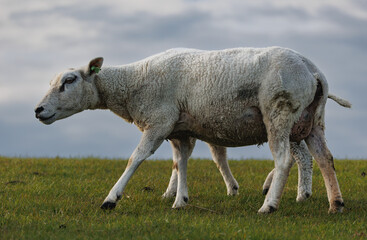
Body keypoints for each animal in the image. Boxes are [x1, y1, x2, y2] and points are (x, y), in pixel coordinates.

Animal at [34, 47, 350, 214]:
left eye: (69, 81)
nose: (38, 110)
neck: (133, 83)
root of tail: (312, 70)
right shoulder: (179, 130)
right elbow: (180, 162)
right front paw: (179, 200)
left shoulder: (159, 121)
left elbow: (136, 158)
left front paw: (111, 198)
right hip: (311, 120)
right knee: (325, 159)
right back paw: (335, 203)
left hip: (280, 113)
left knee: (286, 159)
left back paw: (270, 205)